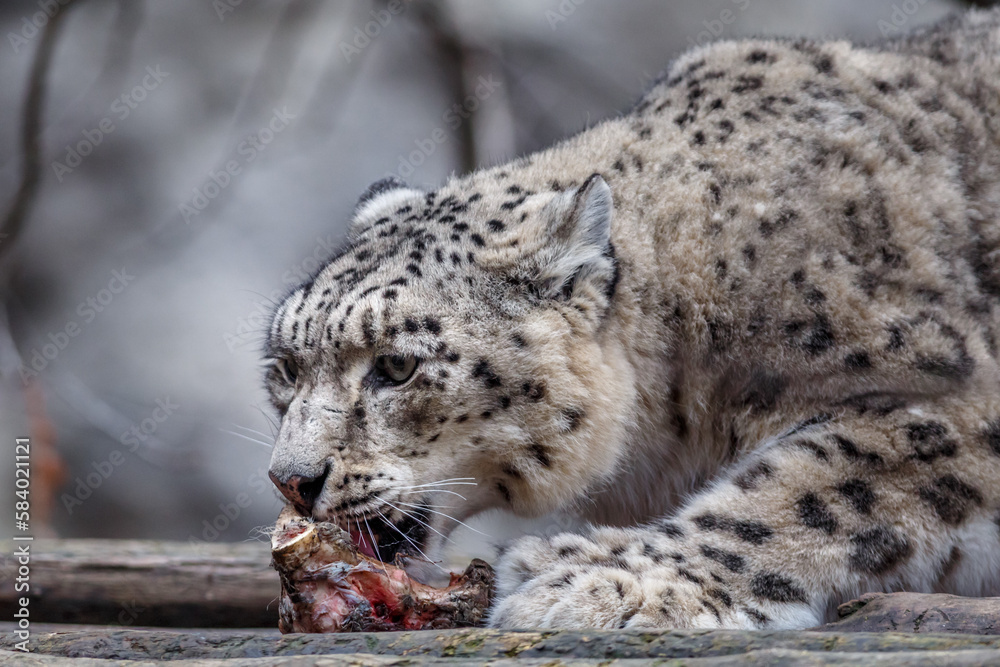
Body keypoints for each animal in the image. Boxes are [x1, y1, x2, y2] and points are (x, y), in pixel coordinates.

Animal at [264, 9, 1000, 630]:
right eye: (285, 370)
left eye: (396, 365)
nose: (292, 481)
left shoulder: (951, 403)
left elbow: (803, 488)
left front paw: (601, 578)